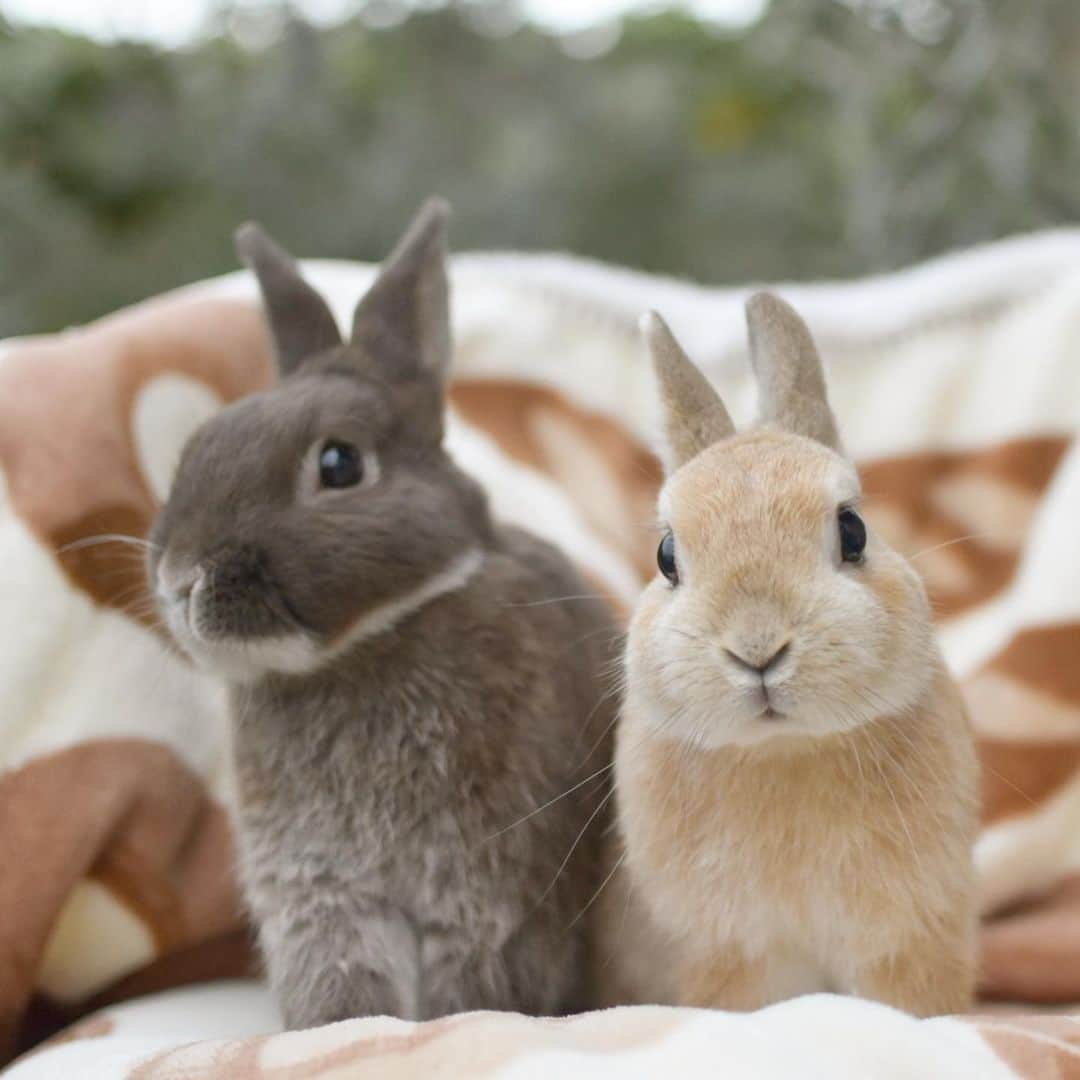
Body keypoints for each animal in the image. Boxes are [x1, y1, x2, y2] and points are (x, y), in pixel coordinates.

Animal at [147, 198, 619, 1029]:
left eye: (339, 465)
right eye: (200, 444)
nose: (179, 579)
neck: (371, 640)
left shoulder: (490, 888)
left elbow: (478, 984)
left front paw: (460, 1025)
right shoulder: (325, 890)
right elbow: (343, 975)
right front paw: (339, 1030)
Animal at [597, 293, 978, 1018]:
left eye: (853, 531)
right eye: (666, 557)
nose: (758, 646)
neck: (785, 750)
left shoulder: (906, 936)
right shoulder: (728, 954)